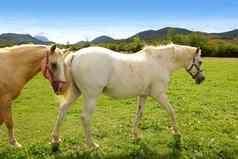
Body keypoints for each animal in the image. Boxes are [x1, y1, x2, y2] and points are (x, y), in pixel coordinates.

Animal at [49, 43, 205, 149]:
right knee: (85, 117)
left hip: (76, 93)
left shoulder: (143, 95)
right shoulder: (159, 95)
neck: (160, 62)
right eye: (200, 61)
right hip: (91, 96)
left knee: (62, 110)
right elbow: (171, 111)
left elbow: (139, 115)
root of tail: (75, 55)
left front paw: (135, 135)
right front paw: (176, 132)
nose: (201, 79)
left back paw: (56, 139)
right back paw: (92, 145)